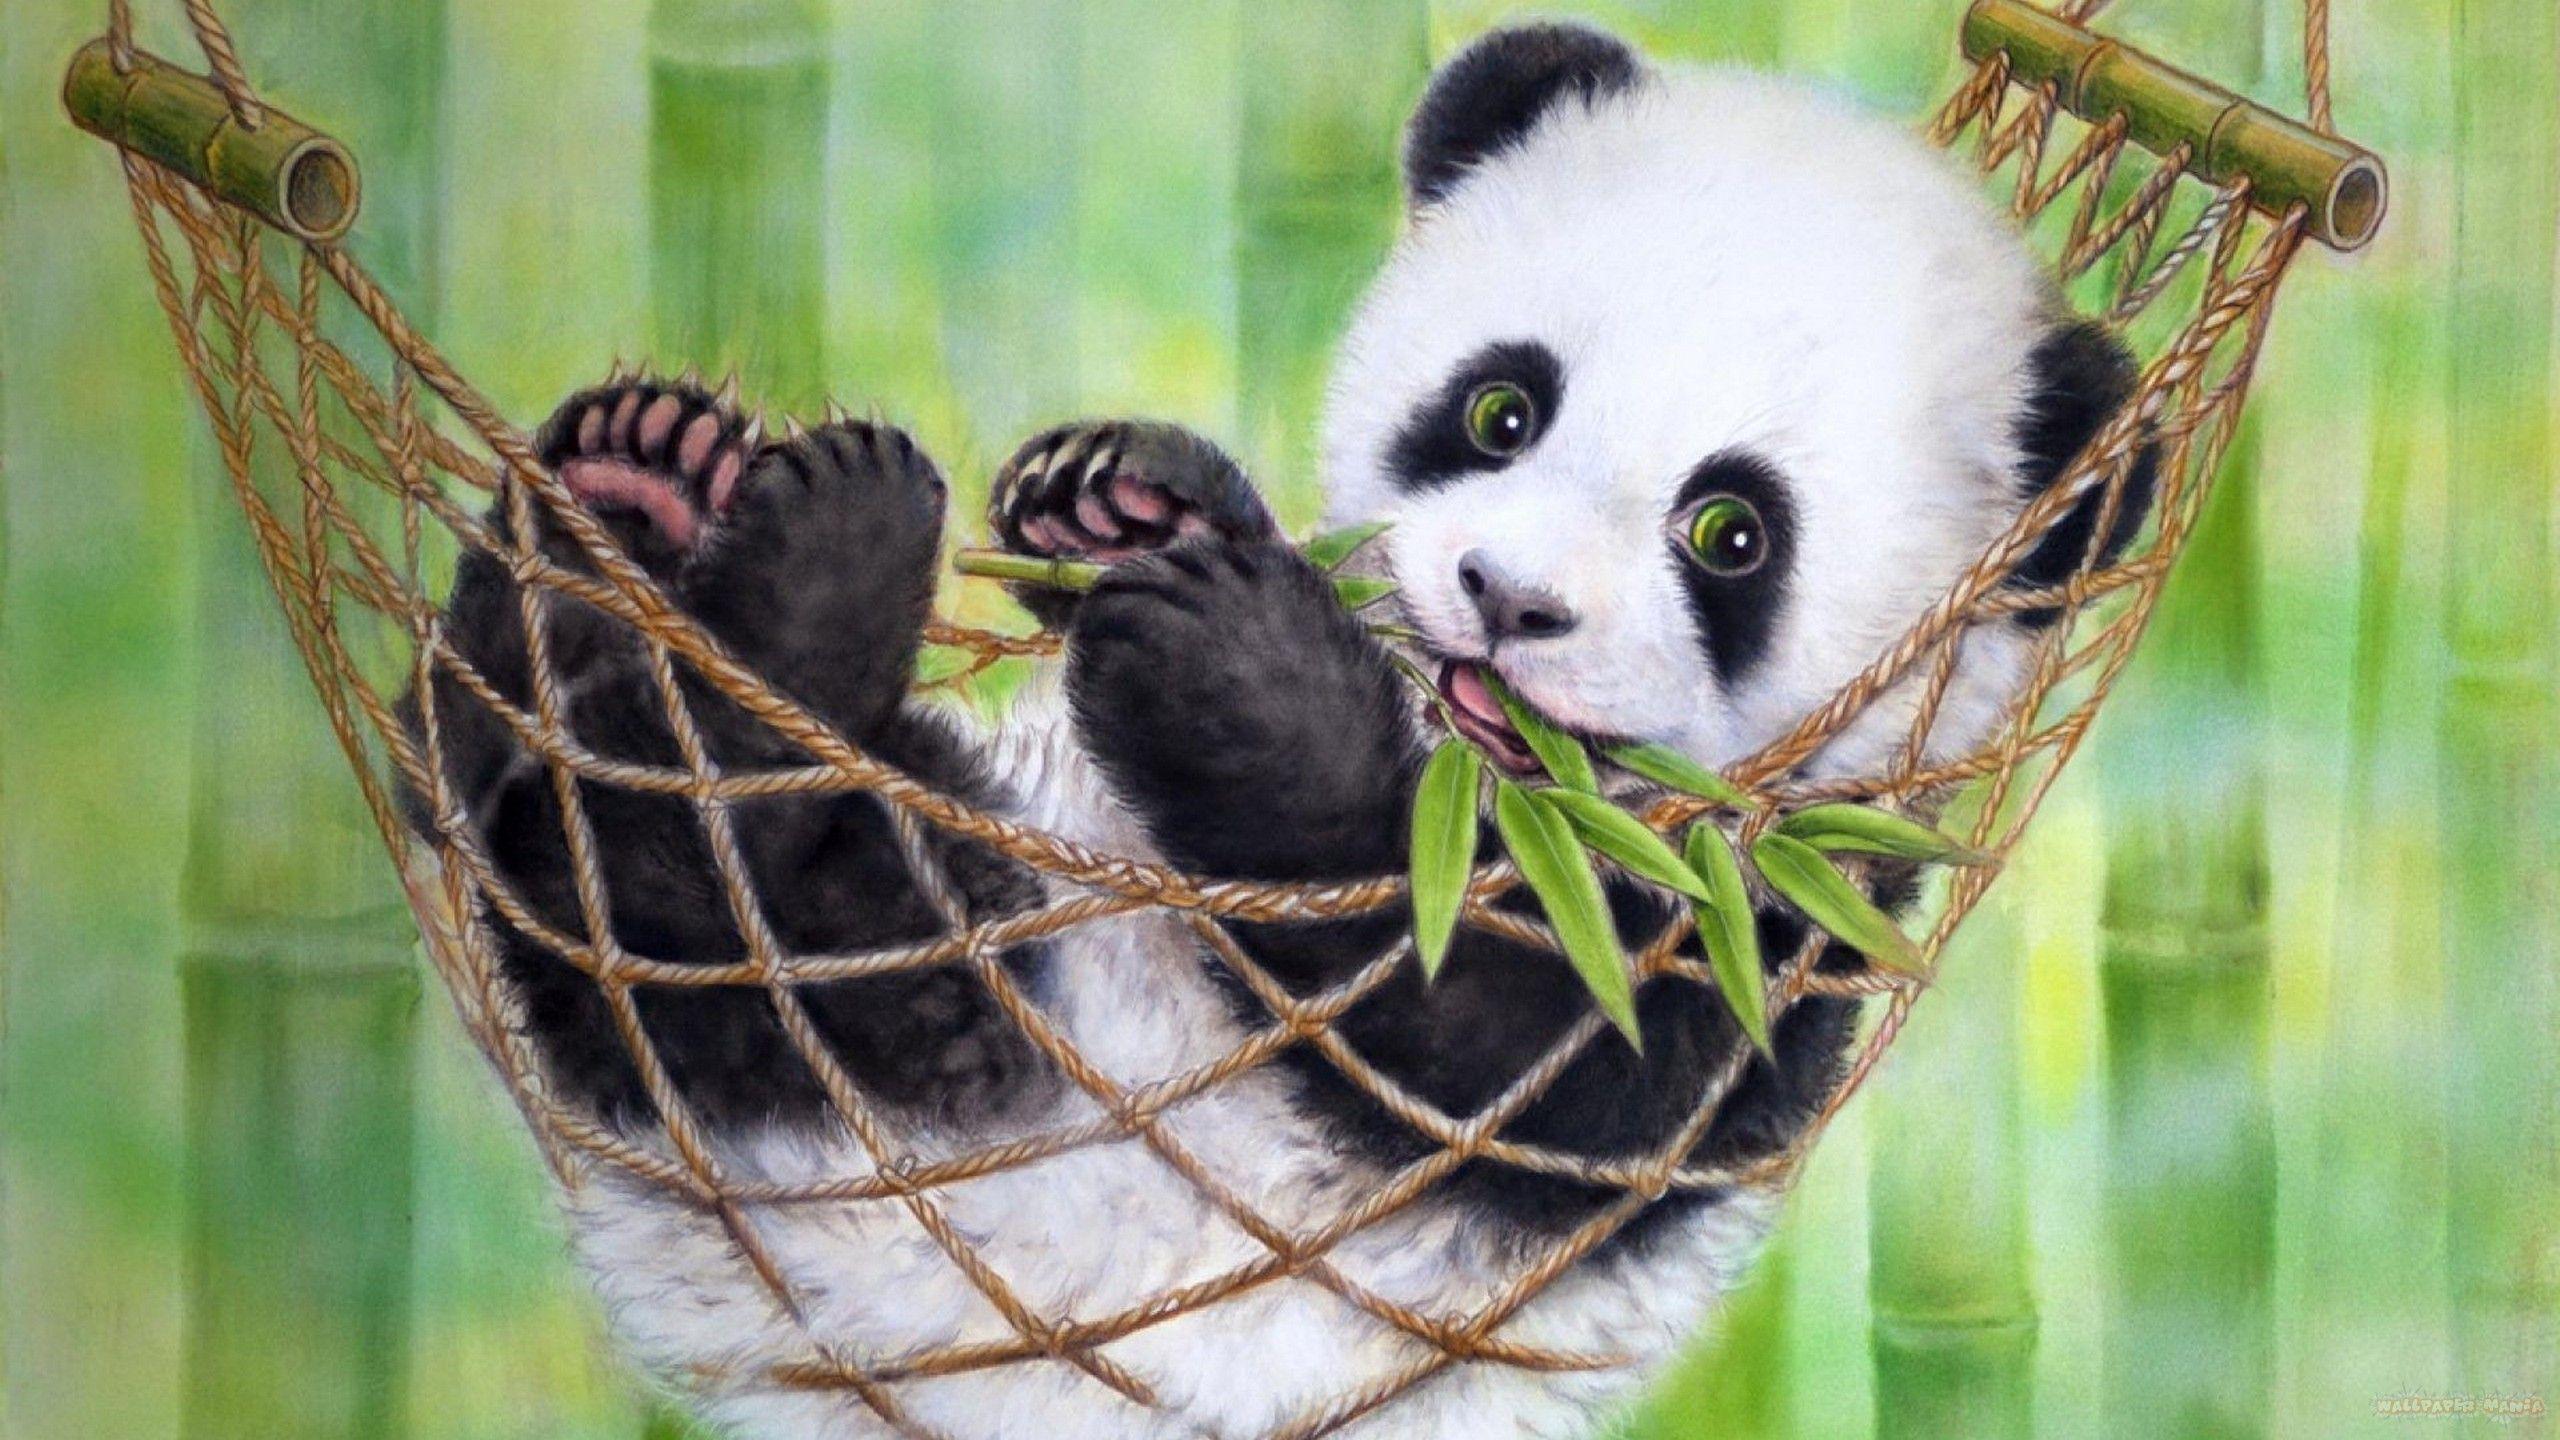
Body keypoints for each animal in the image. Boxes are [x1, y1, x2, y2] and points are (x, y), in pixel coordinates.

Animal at [411, 21, 2143, 1440]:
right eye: (1501, 410)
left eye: (1731, 533)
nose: (1507, 602)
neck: (1488, 786)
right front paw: (1126, 496)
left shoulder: (1761, 941)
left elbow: (1484, 1050)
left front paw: (1233, 672)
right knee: (501, 793)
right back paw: (630, 494)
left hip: (945, 1052)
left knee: (715, 907)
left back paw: (795, 588)